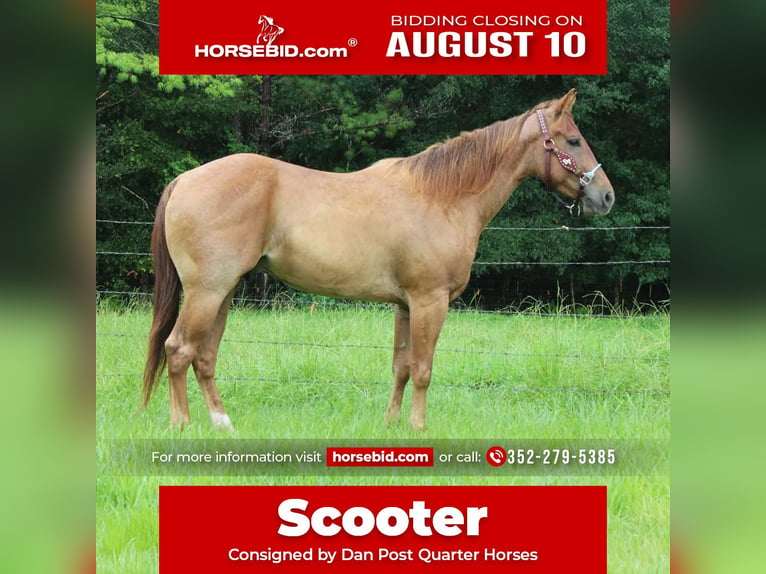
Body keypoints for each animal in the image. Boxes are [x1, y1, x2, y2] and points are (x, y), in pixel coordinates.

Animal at [142, 89, 614, 431]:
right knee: (178, 350)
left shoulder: (406, 305)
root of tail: (185, 179)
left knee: (204, 356)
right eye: (573, 140)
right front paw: (419, 428)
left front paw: (391, 425)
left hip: (223, 292)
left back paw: (222, 424)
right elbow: (422, 368)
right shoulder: (429, 301)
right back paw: (181, 425)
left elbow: (401, 368)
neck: (442, 196)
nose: (606, 196)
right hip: (207, 291)